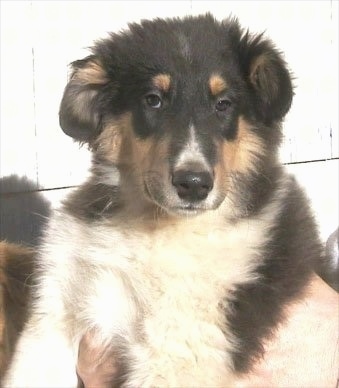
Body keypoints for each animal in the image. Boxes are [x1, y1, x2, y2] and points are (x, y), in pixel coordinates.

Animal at [4, 13, 324, 386]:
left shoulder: (179, 347)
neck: (150, 223)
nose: (194, 185)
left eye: (224, 104)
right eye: (153, 99)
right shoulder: (55, 312)